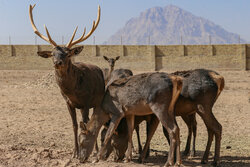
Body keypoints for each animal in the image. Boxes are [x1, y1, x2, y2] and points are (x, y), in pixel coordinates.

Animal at [28, 3, 104, 158]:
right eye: (52, 54)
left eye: (68, 54)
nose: (58, 62)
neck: (72, 91)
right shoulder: (68, 103)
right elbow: (74, 125)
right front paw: (74, 152)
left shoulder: (86, 100)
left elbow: (86, 123)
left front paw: (84, 151)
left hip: (98, 100)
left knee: (93, 119)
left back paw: (96, 150)